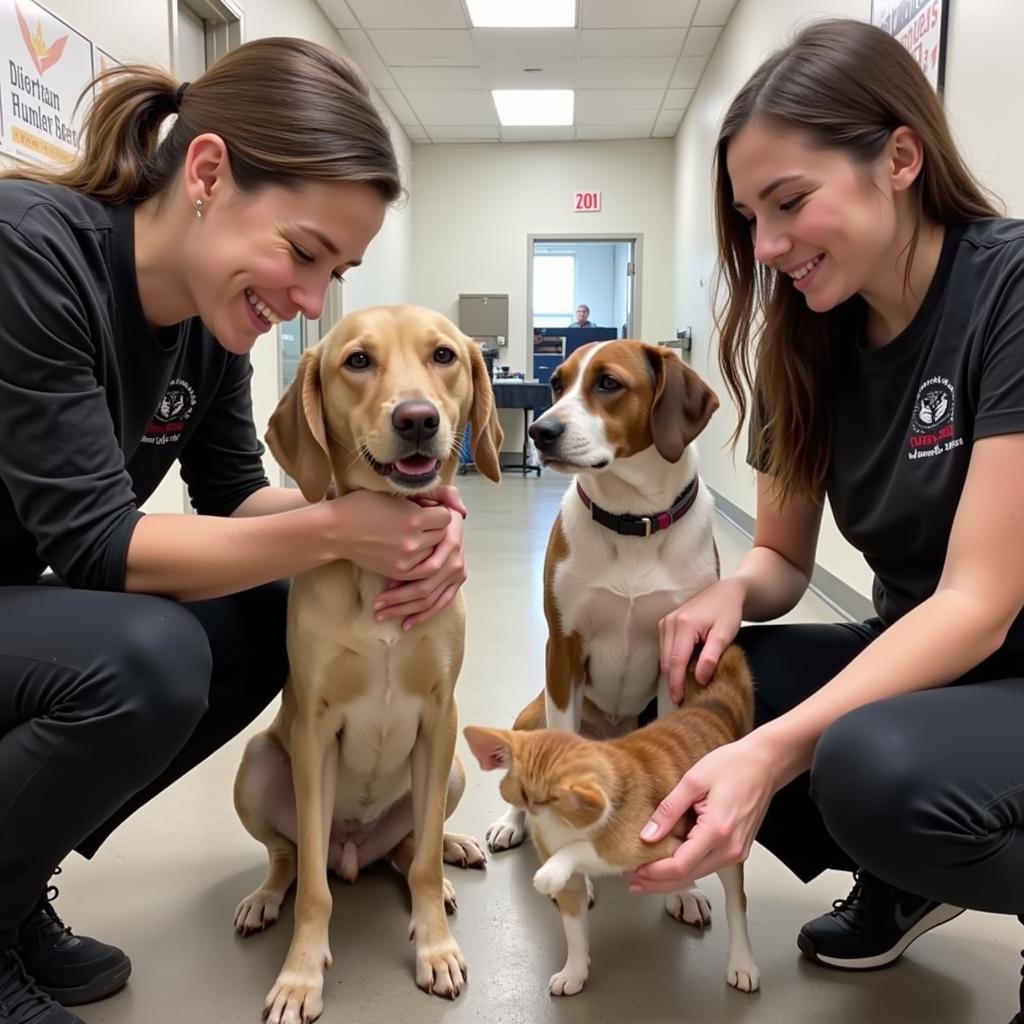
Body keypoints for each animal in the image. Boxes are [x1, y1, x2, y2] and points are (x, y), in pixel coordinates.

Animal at [233, 305, 503, 1024]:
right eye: (357, 360)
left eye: (443, 355)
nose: (417, 419)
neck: (381, 567)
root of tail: (356, 852)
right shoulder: (313, 730)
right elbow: (313, 891)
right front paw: (299, 977)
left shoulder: (440, 717)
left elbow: (426, 865)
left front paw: (436, 947)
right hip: (257, 766)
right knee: (291, 857)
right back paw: (264, 898)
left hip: (451, 768)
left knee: (413, 849)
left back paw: (451, 855)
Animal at [466, 643, 761, 995]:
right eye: (521, 793)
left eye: (553, 800)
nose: (535, 815)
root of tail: (710, 710)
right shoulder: (572, 891)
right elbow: (575, 933)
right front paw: (575, 972)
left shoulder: (656, 843)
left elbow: (590, 850)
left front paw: (554, 867)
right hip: (531, 717)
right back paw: (510, 825)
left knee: (737, 904)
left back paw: (741, 960)